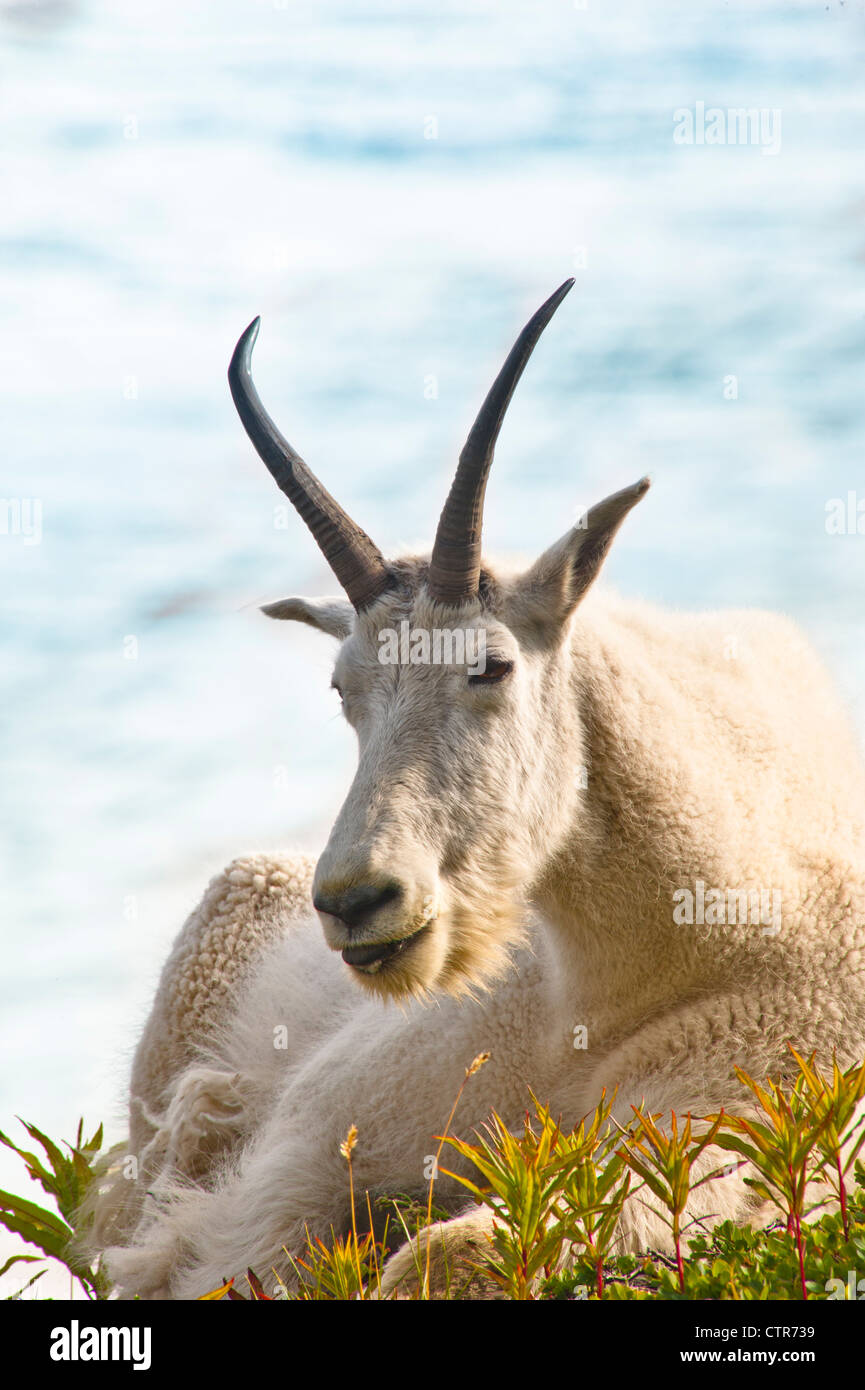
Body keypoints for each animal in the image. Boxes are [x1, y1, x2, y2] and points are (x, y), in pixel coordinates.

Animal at [86, 284, 865, 1301]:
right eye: (341, 686)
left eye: (490, 664)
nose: (358, 901)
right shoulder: (316, 1136)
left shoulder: (728, 1123)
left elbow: (451, 1249)